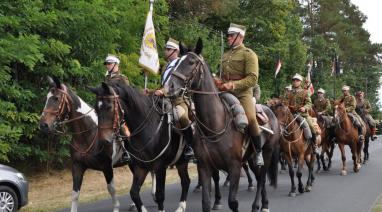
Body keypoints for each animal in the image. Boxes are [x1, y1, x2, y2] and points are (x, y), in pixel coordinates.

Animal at [39, 76, 120, 212]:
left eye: (56, 98)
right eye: (46, 98)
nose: (43, 125)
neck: (89, 133)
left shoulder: (107, 167)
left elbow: (112, 190)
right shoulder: (77, 166)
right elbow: (75, 194)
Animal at [90, 82, 191, 212]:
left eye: (109, 107)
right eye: (96, 110)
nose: (103, 141)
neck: (147, 127)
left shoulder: (160, 167)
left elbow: (160, 195)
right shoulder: (141, 167)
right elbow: (134, 193)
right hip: (180, 162)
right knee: (186, 181)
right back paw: (181, 207)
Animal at [166, 38, 280, 212]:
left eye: (191, 62)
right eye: (177, 61)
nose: (169, 87)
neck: (214, 125)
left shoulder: (235, 167)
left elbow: (233, 202)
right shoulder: (205, 167)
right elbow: (206, 202)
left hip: (266, 154)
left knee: (261, 178)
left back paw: (258, 205)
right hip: (251, 158)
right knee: (259, 176)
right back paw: (263, 204)